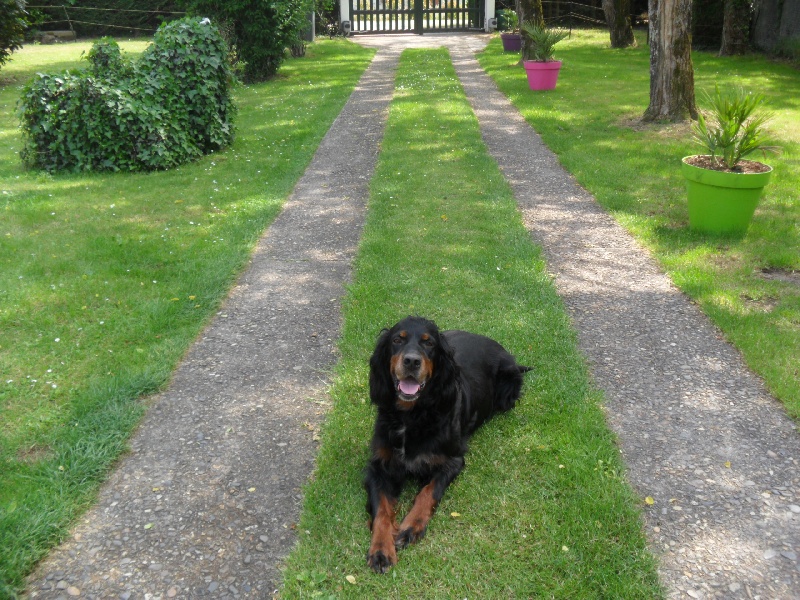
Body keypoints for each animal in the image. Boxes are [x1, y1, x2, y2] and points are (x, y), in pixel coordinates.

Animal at [364, 315, 531, 573]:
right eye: (396, 340)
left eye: (429, 343)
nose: (411, 361)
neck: (411, 417)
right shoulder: (379, 465)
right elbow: (381, 508)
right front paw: (381, 549)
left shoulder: (452, 461)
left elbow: (428, 492)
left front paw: (411, 527)